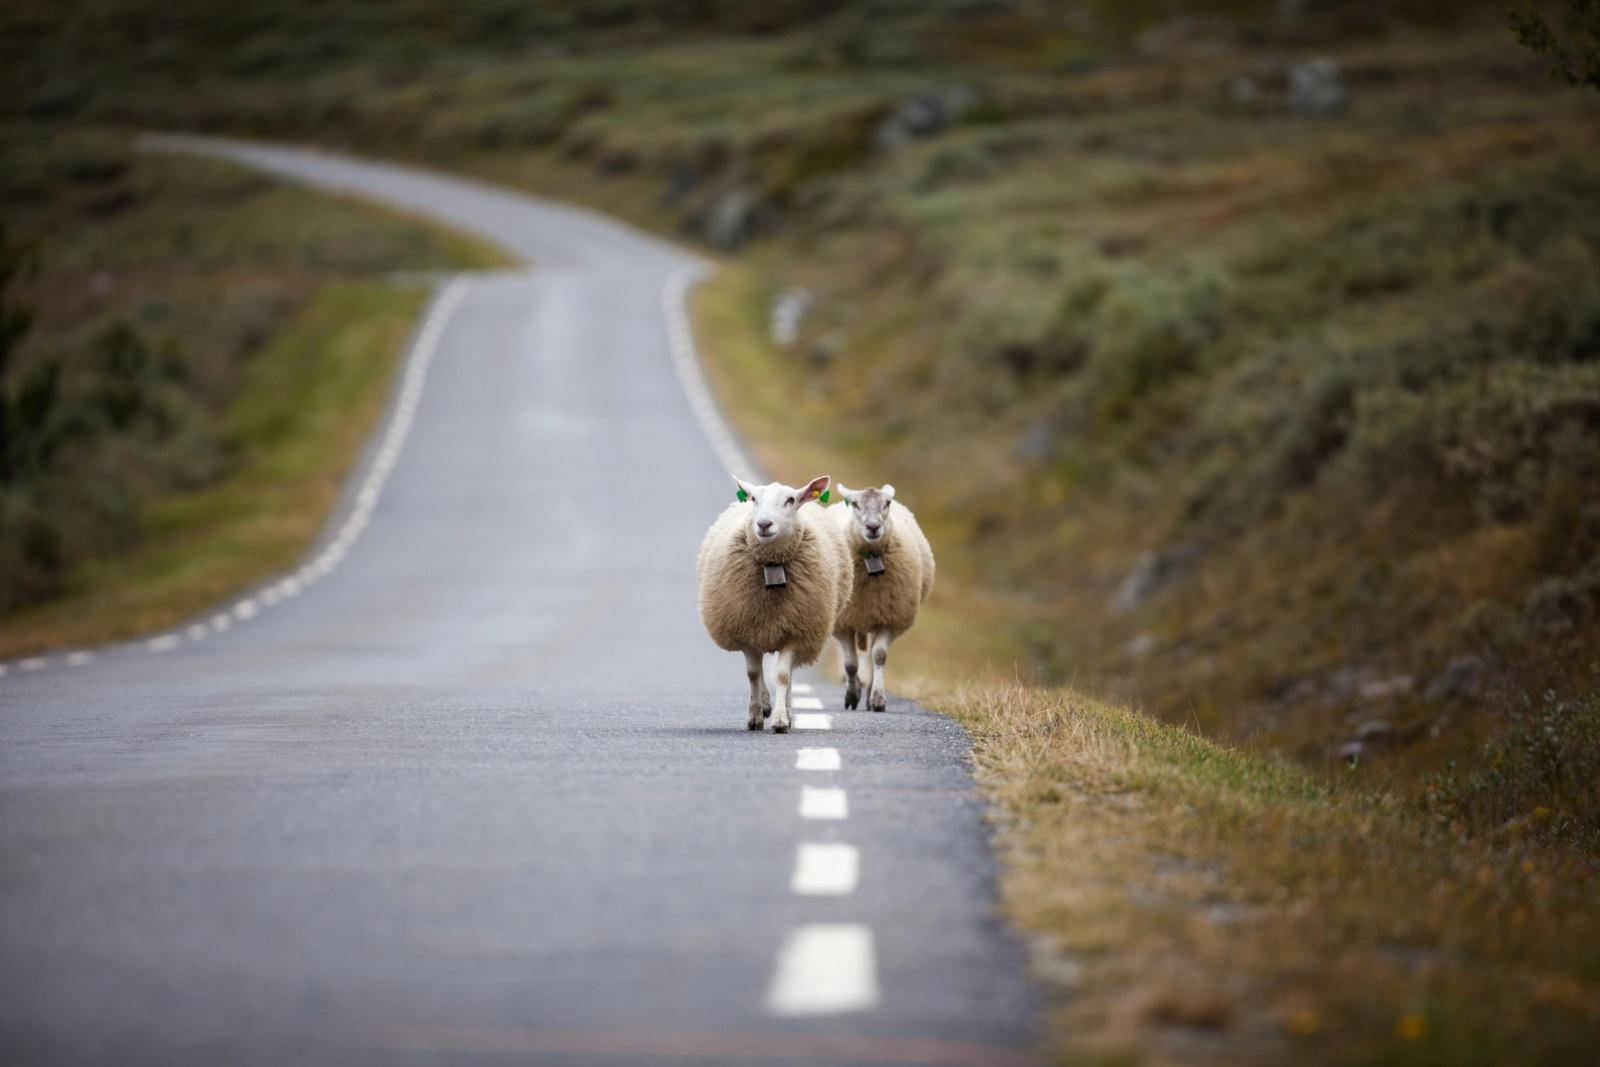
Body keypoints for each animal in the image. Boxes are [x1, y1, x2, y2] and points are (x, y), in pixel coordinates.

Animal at [697, 475, 852, 733]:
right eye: (753, 498)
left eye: (790, 500)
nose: (763, 524)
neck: (772, 566)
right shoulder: (747, 629)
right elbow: (753, 674)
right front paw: (755, 715)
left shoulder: (796, 631)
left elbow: (782, 675)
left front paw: (780, 719)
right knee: (760, 671)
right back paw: (765, 704)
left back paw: (784, 710)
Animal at [829, 484, 935, 712]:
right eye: (855, 504)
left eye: (887, 503)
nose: (873, 527)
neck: (870, 558)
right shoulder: (844, 623)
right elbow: (851, 664)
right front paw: (851, 696)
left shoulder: (889, 618)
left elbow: (879, 656)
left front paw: (877, 699)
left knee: (870, 654)